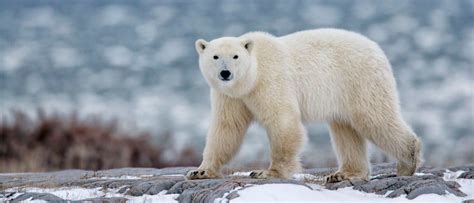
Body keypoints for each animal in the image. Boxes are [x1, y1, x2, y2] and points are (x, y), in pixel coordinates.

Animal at [186, 27, 422, 182]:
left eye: (235, 56)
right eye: (215, 56)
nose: (225, 73)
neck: (251, 77)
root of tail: (377, 49)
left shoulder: (270, 81)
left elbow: (282, 122)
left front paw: (267, 172)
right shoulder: (230, 96)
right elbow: (226, 128)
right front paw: (200, 171)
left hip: (359, 80)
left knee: (375, 118)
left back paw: (407, 162)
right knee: (345, 130)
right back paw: (343, 174)